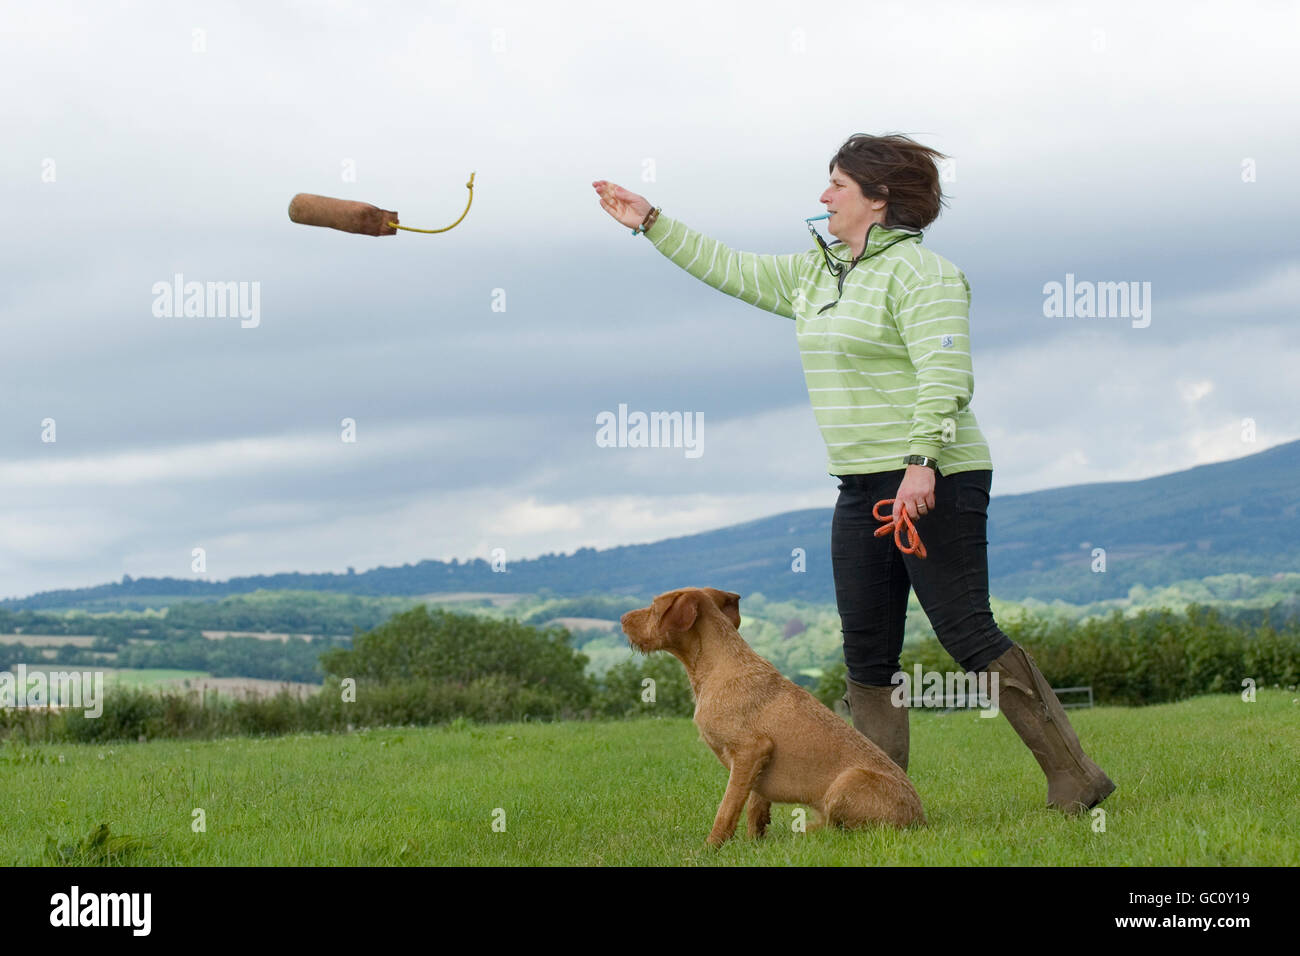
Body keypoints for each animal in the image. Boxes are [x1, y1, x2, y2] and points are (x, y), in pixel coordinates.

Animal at [621, 582, 920, 842]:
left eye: (654, 607)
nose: (622, 619)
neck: (719, 666)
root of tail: (920, 820)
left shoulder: (750, 750)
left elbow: (728, 808)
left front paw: (710, 848)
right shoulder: (757, 764)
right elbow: (755, 804)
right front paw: (756, 842)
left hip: (845, 783)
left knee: (841, 830)